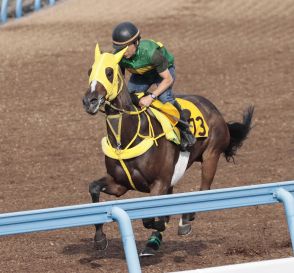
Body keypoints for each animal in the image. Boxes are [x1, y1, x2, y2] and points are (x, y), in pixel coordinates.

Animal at [82, 44, 253, 255]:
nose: (89, 101)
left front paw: (162, 224)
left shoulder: (159, 183)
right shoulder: (120, 184)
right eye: (90, 71)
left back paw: (184, 220)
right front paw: (99, 238)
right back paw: (153, 241)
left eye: (109, 72)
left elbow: (150, 218)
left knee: (203, 190)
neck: (128, 137)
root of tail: (214, 109)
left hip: (211, 156)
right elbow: (94, 188)